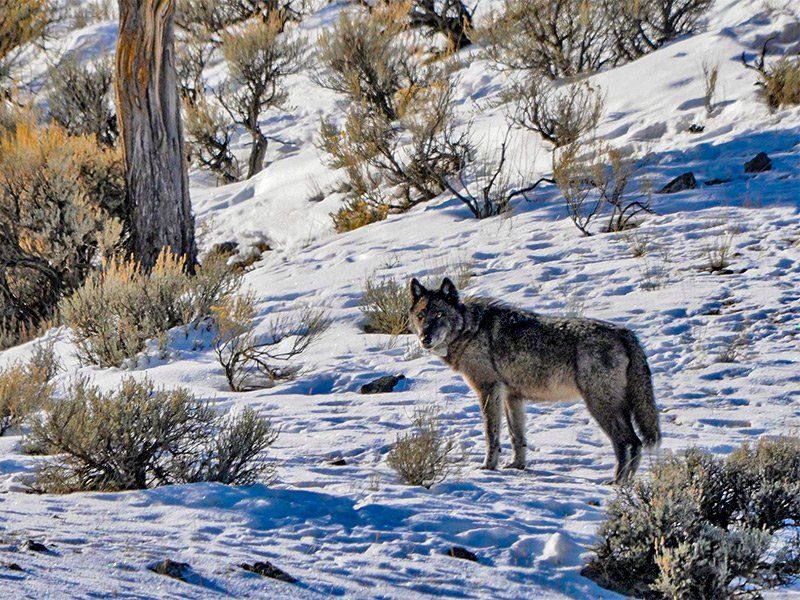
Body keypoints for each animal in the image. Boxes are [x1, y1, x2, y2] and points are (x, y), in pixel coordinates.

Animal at [408, 277, 661, 483]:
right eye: (421, 316)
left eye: (439, 315)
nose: (425, 338)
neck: (470, 330)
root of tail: (626, 333)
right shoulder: (512, 397)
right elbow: (517, 437)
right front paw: (516, 467)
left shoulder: (488, 390)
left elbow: (492, 435)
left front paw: (488, 468)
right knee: (635, 443)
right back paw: (626, 484)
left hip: (600, 406)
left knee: (627, 442)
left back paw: (617, 483)